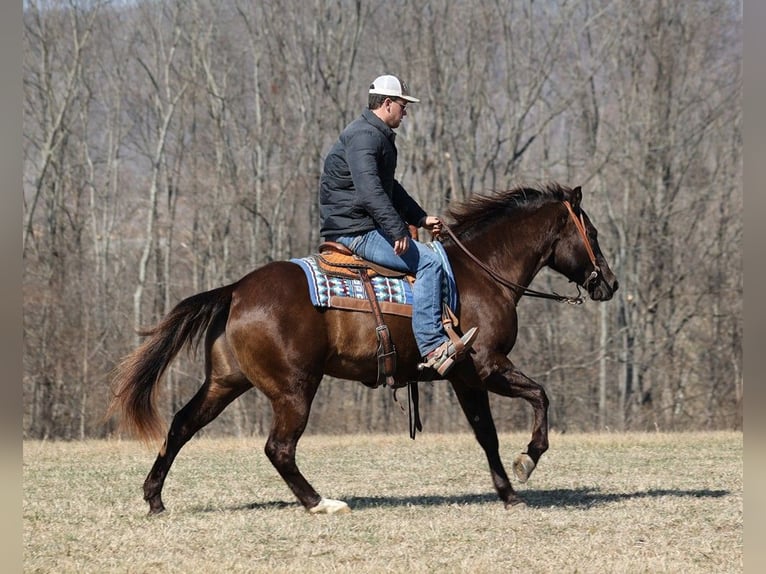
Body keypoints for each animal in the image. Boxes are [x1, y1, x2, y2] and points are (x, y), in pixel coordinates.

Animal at [109, 182, 616, 516]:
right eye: (590, 232)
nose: (609, 283)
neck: (480, 274)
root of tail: (235, 290)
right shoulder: (488, 366)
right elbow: (540, 397)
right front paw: (527, 461)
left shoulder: (464, 377)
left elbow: (486, 435)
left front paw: (508, 492)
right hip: (294, 389)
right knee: (279, 448)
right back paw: (320, 503)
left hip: (225, 382)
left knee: (182, 425)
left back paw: (154, 498)